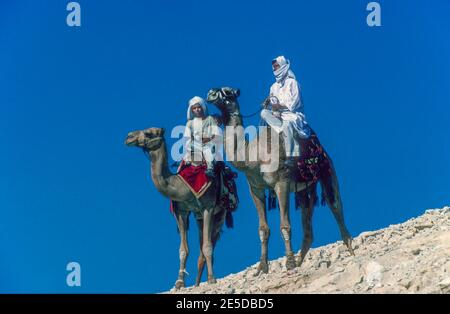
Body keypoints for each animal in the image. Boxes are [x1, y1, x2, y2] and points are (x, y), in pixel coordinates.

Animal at [125, 127, 234, 288]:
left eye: (149, 133)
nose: (129, 137)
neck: (181, 185)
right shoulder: (181, 211)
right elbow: (183, 249)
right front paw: (179, 282)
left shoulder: (208, 207)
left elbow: (207, 247)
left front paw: (212, 279)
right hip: (199, 218)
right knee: (201, 249)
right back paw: (196, 284)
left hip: (220, 214)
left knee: (209, 244)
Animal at [206, 86, 354, 274]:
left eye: (227, 91)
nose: (210, 93)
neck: (253, 155)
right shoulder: (255, 188)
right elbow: (263, 229)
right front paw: (262, 267)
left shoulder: (281, 182)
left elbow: (285, 225)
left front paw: (289, 262)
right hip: (305, 187)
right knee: (308, 222)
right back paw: (300, 261)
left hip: (327, 170)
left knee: (334, 203)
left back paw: (350, 250)